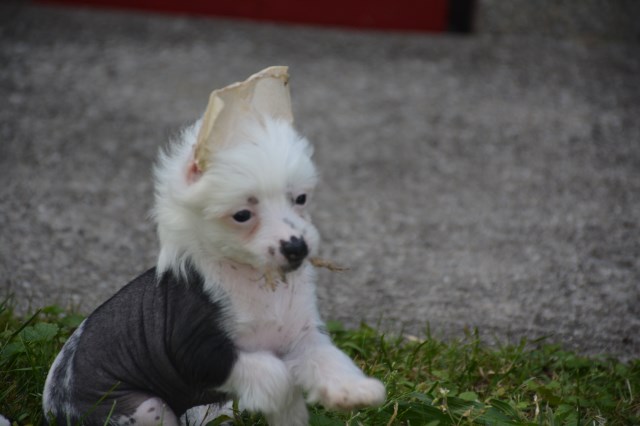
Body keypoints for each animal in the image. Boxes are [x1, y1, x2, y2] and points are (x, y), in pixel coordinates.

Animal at [45, 67, 388, 426]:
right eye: (242, 215)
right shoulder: (201, 354)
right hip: (145, 408)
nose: (296, 247)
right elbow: (275, 375)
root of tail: (54, 406)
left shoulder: (302, 338)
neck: (258, 284)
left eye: (301, 198)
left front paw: (354, 391)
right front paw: (282, 393)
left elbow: (327, 359)